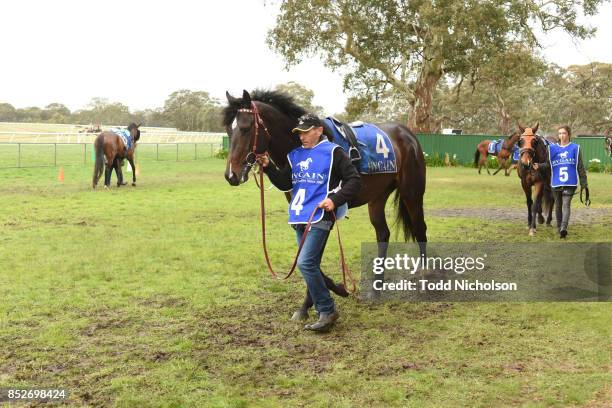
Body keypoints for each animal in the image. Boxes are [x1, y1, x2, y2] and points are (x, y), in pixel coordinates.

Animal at [222, 90, 428, 316]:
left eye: (245, 127)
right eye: (228, 130)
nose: (231, 175)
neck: (302, 145)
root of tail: (407, 133)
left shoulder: (324, 213)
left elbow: (312, 258)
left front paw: (330, 293)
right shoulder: (302, 213)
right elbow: (306, 257)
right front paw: (317, 299)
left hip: (412, 193)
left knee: (420, 230)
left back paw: (425, 281)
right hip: (377, 197)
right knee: (383, 234)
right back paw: (376, 288)